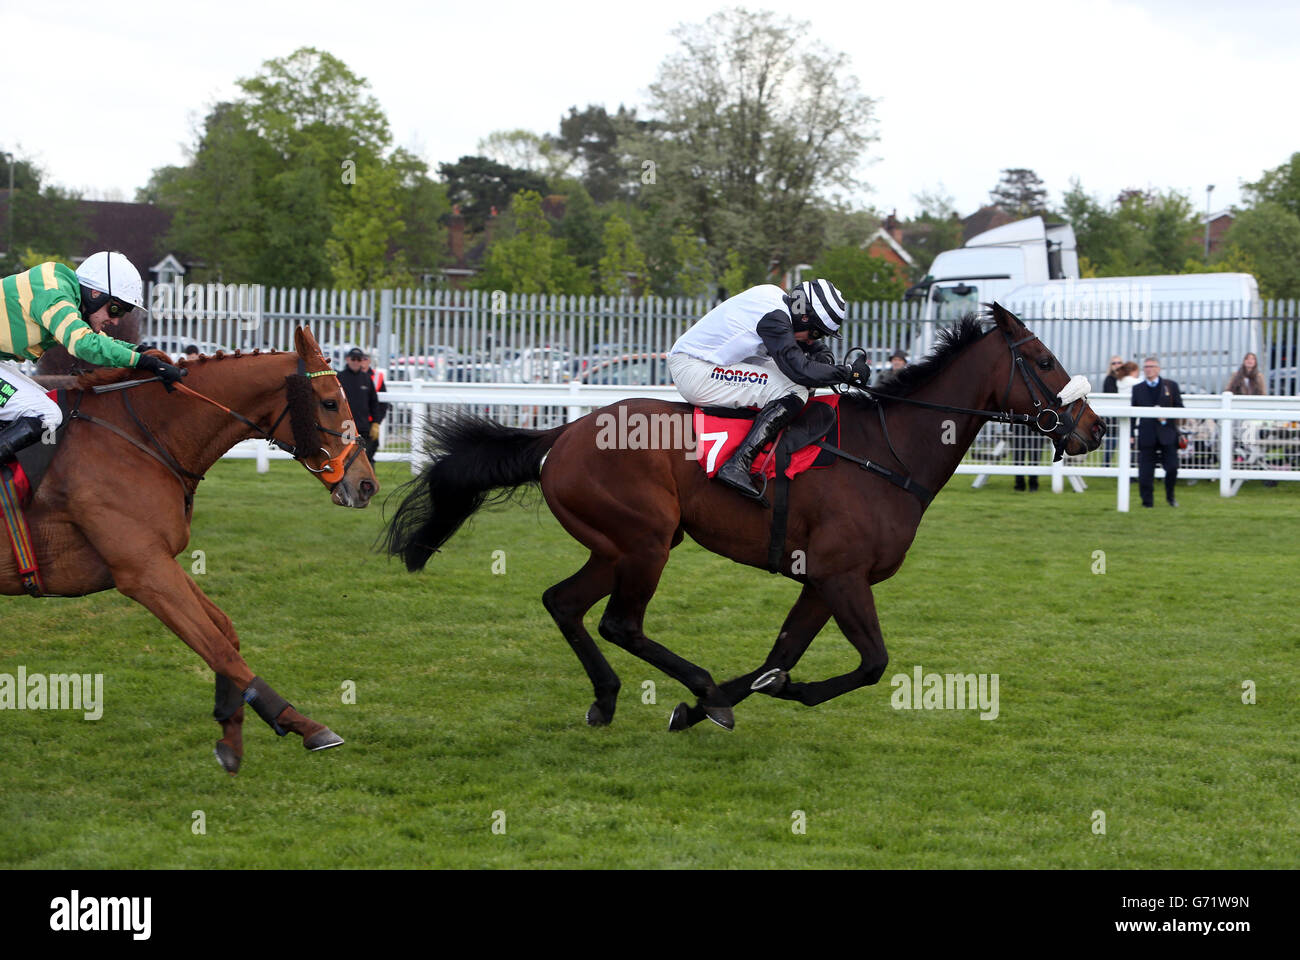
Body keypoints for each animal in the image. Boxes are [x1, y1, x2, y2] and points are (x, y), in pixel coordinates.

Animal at [5, 327, 379, 770]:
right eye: (329, 401)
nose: (366, 484)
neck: (138, 437)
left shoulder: (159, 559)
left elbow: (225, 633)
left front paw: (231, 730)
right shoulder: (144, 572)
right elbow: (219, 649)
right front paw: (304, 725)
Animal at [382, 303, 1107, 728]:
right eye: (1043, 360)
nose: (1094, 429)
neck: (888, 451)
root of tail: (561, 435)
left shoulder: (823, 580)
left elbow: (782, 655)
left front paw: (727, 698)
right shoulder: (841, 576)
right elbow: (870, 663)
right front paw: (727, 699)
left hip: (617, 545)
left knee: (564, 602)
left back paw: (612, 698)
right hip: (646, 542)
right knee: (619, 621)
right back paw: (693, 686)